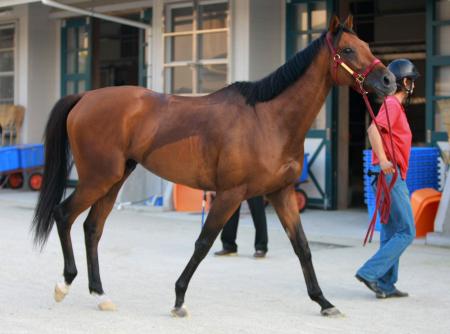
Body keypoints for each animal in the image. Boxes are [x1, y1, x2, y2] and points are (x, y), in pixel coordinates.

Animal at [31, 15, 396, 318]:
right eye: (348, 50)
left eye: (367, 47)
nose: (390, 80)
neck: (268, 119)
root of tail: (85, 98)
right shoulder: (230, 194)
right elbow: (204, 243)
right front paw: (179, 299)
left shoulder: (281, 193)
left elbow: (302, 247)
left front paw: (323, 302)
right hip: (98, 178)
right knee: (64, 215)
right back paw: (64, 284)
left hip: (115, 179)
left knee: (92, 228)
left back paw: (101, 295)